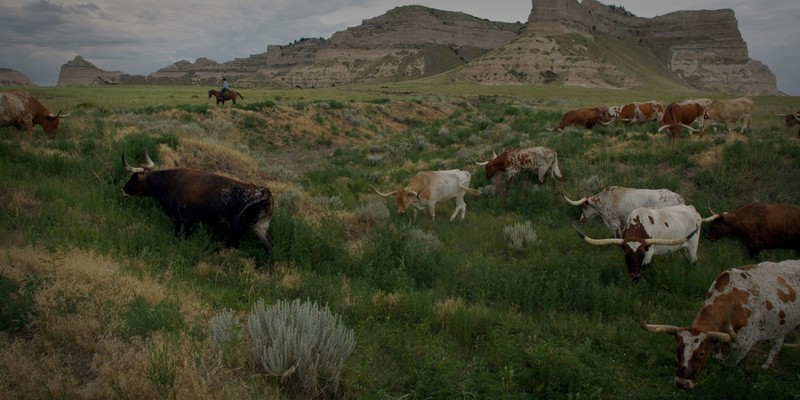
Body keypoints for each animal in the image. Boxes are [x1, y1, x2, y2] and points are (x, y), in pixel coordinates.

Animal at [120, 150, 274, 250]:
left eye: (134, 178)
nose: (122, 190)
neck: (169, 183)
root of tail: (265, 192)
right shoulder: (188, 223)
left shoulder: (181, 221)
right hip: (261, 228)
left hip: (236, 231)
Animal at [568, 205, 708, 280]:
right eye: (627, 256)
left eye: (641, 255)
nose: (635, 277)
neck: (638, 224)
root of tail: (692, 209)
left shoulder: (649, 252)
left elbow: (645, 267)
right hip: (683, 248)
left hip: (692, 247)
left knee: (693, 263)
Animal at [640, 260, 800, 390]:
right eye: (677, 349)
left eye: (701, 353)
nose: (682, 383)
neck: (736, 299)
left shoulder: (745, 343)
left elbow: (729, 366)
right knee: (778, 343)